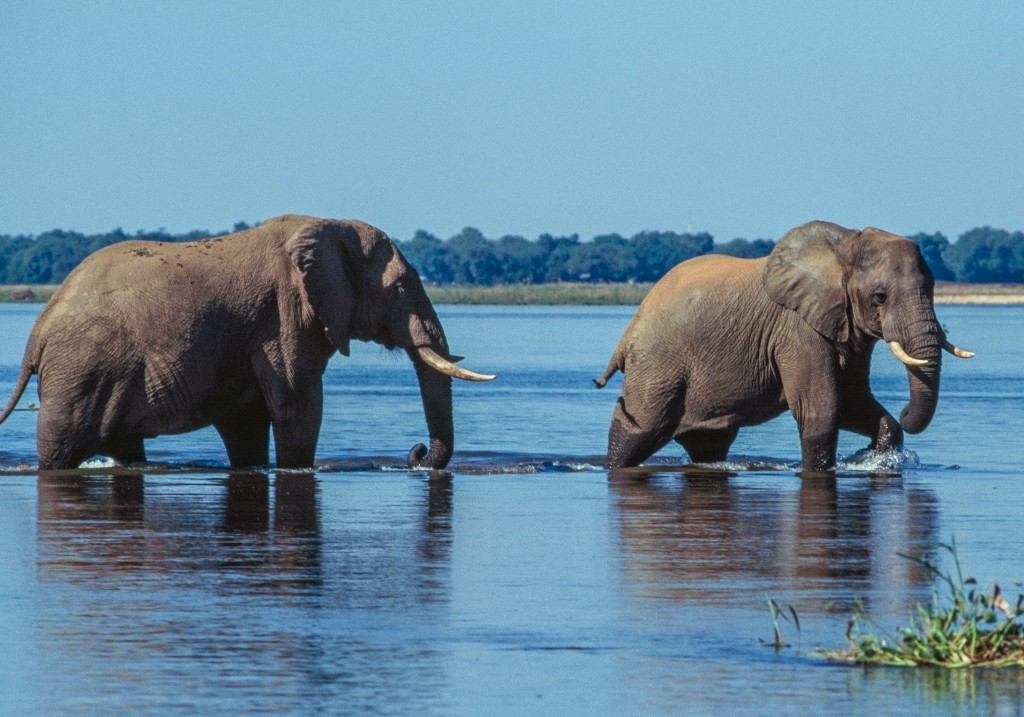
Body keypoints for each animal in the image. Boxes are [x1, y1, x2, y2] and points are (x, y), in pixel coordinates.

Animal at [0, 214, 495, 470]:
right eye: (398, 288)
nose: (415, 454)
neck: (328, 227)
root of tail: (38, 331)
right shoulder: (283, 317)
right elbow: (298, 406)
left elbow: (247, 422)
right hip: (82, 370)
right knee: (61, 445)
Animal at [595, 220, 973, 471]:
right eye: (879, 297)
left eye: (933, 287)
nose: (908, 410)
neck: (844, 245)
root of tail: (629, 331)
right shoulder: (797, 331)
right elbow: (822, 410)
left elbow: (854, 403)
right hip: (657, 367)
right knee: (636, 432)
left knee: (708, 446)